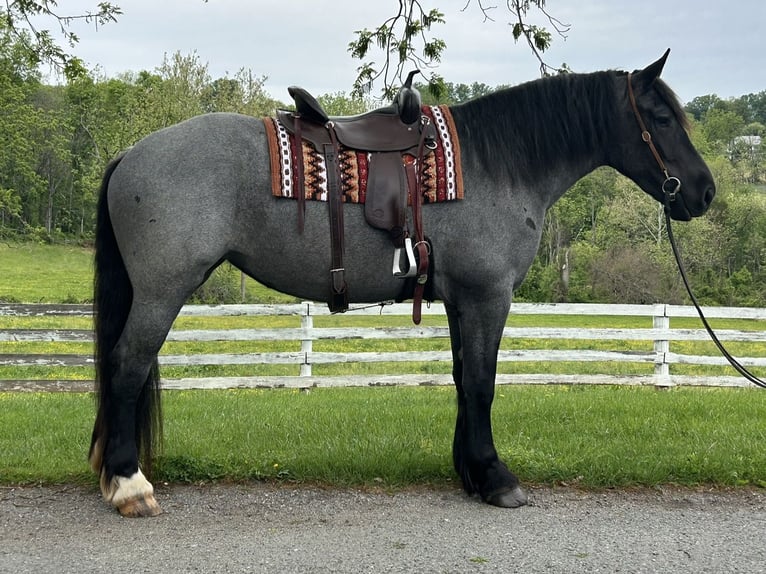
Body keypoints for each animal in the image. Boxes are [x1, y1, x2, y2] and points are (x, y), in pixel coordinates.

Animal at [89, 50, 715, 516]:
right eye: (662, 119)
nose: (704, 192)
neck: (499, 163)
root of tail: (131, 153)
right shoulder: (489, 297)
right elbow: (483, 385)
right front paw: (496, 479)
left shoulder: (464, 301)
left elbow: (464, 381)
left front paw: (470, 472)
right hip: (163, 291)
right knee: (127, 366)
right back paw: (130, 486)